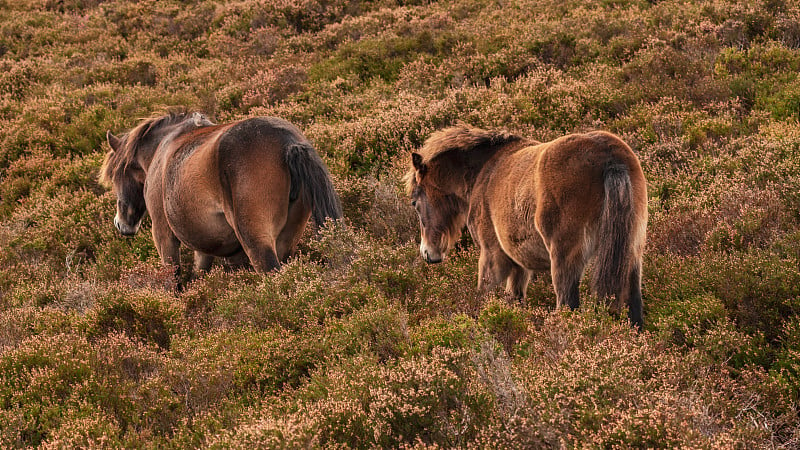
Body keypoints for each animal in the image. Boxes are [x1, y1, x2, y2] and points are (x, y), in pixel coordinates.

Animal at [100, 110, 340, 278]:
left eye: (115, 176)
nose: (121, 224)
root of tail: (288, 143)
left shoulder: (163, 236)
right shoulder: (205, 248)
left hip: (256, 241)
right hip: (287, 241)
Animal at [406, 124, 648, 326]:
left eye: (414, 202)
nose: (428, 254)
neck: (483, 172)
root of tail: (610, 158)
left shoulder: (492, 256)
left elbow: (483, 298)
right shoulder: (519, 266)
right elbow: (514, 300)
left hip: (564, 259)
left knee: (566, 305)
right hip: (631, 255)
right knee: (634, 307)